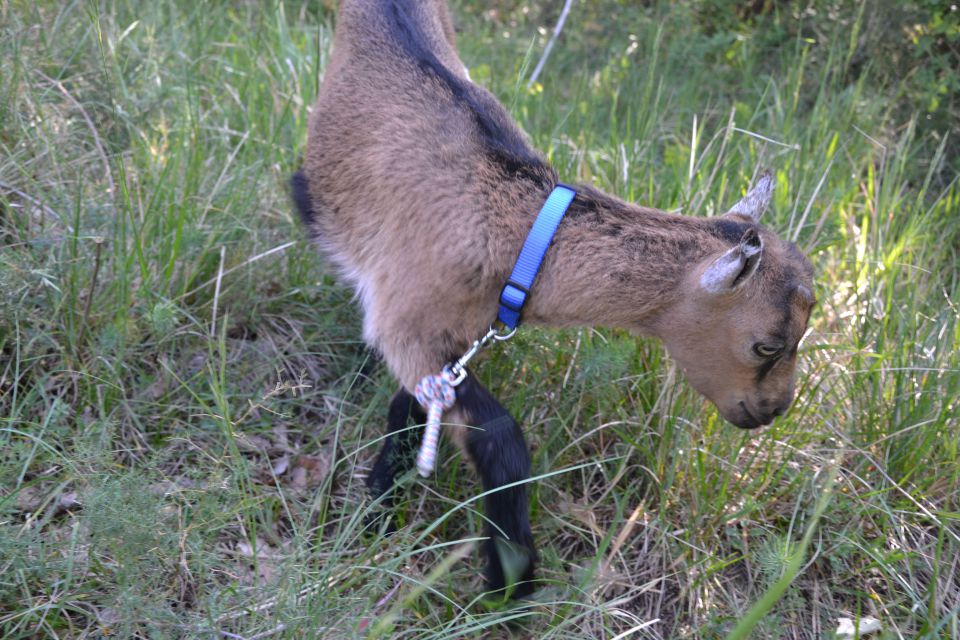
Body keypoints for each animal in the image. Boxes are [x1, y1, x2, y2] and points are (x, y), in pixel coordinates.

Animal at [290, 1, 808, 600]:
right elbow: (500, 435)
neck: (517, 232)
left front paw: (380, 504)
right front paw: (510, 579)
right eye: (766, 344)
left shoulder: (451, 339)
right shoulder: (407, 325)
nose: (775, 409)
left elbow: (411, 407)